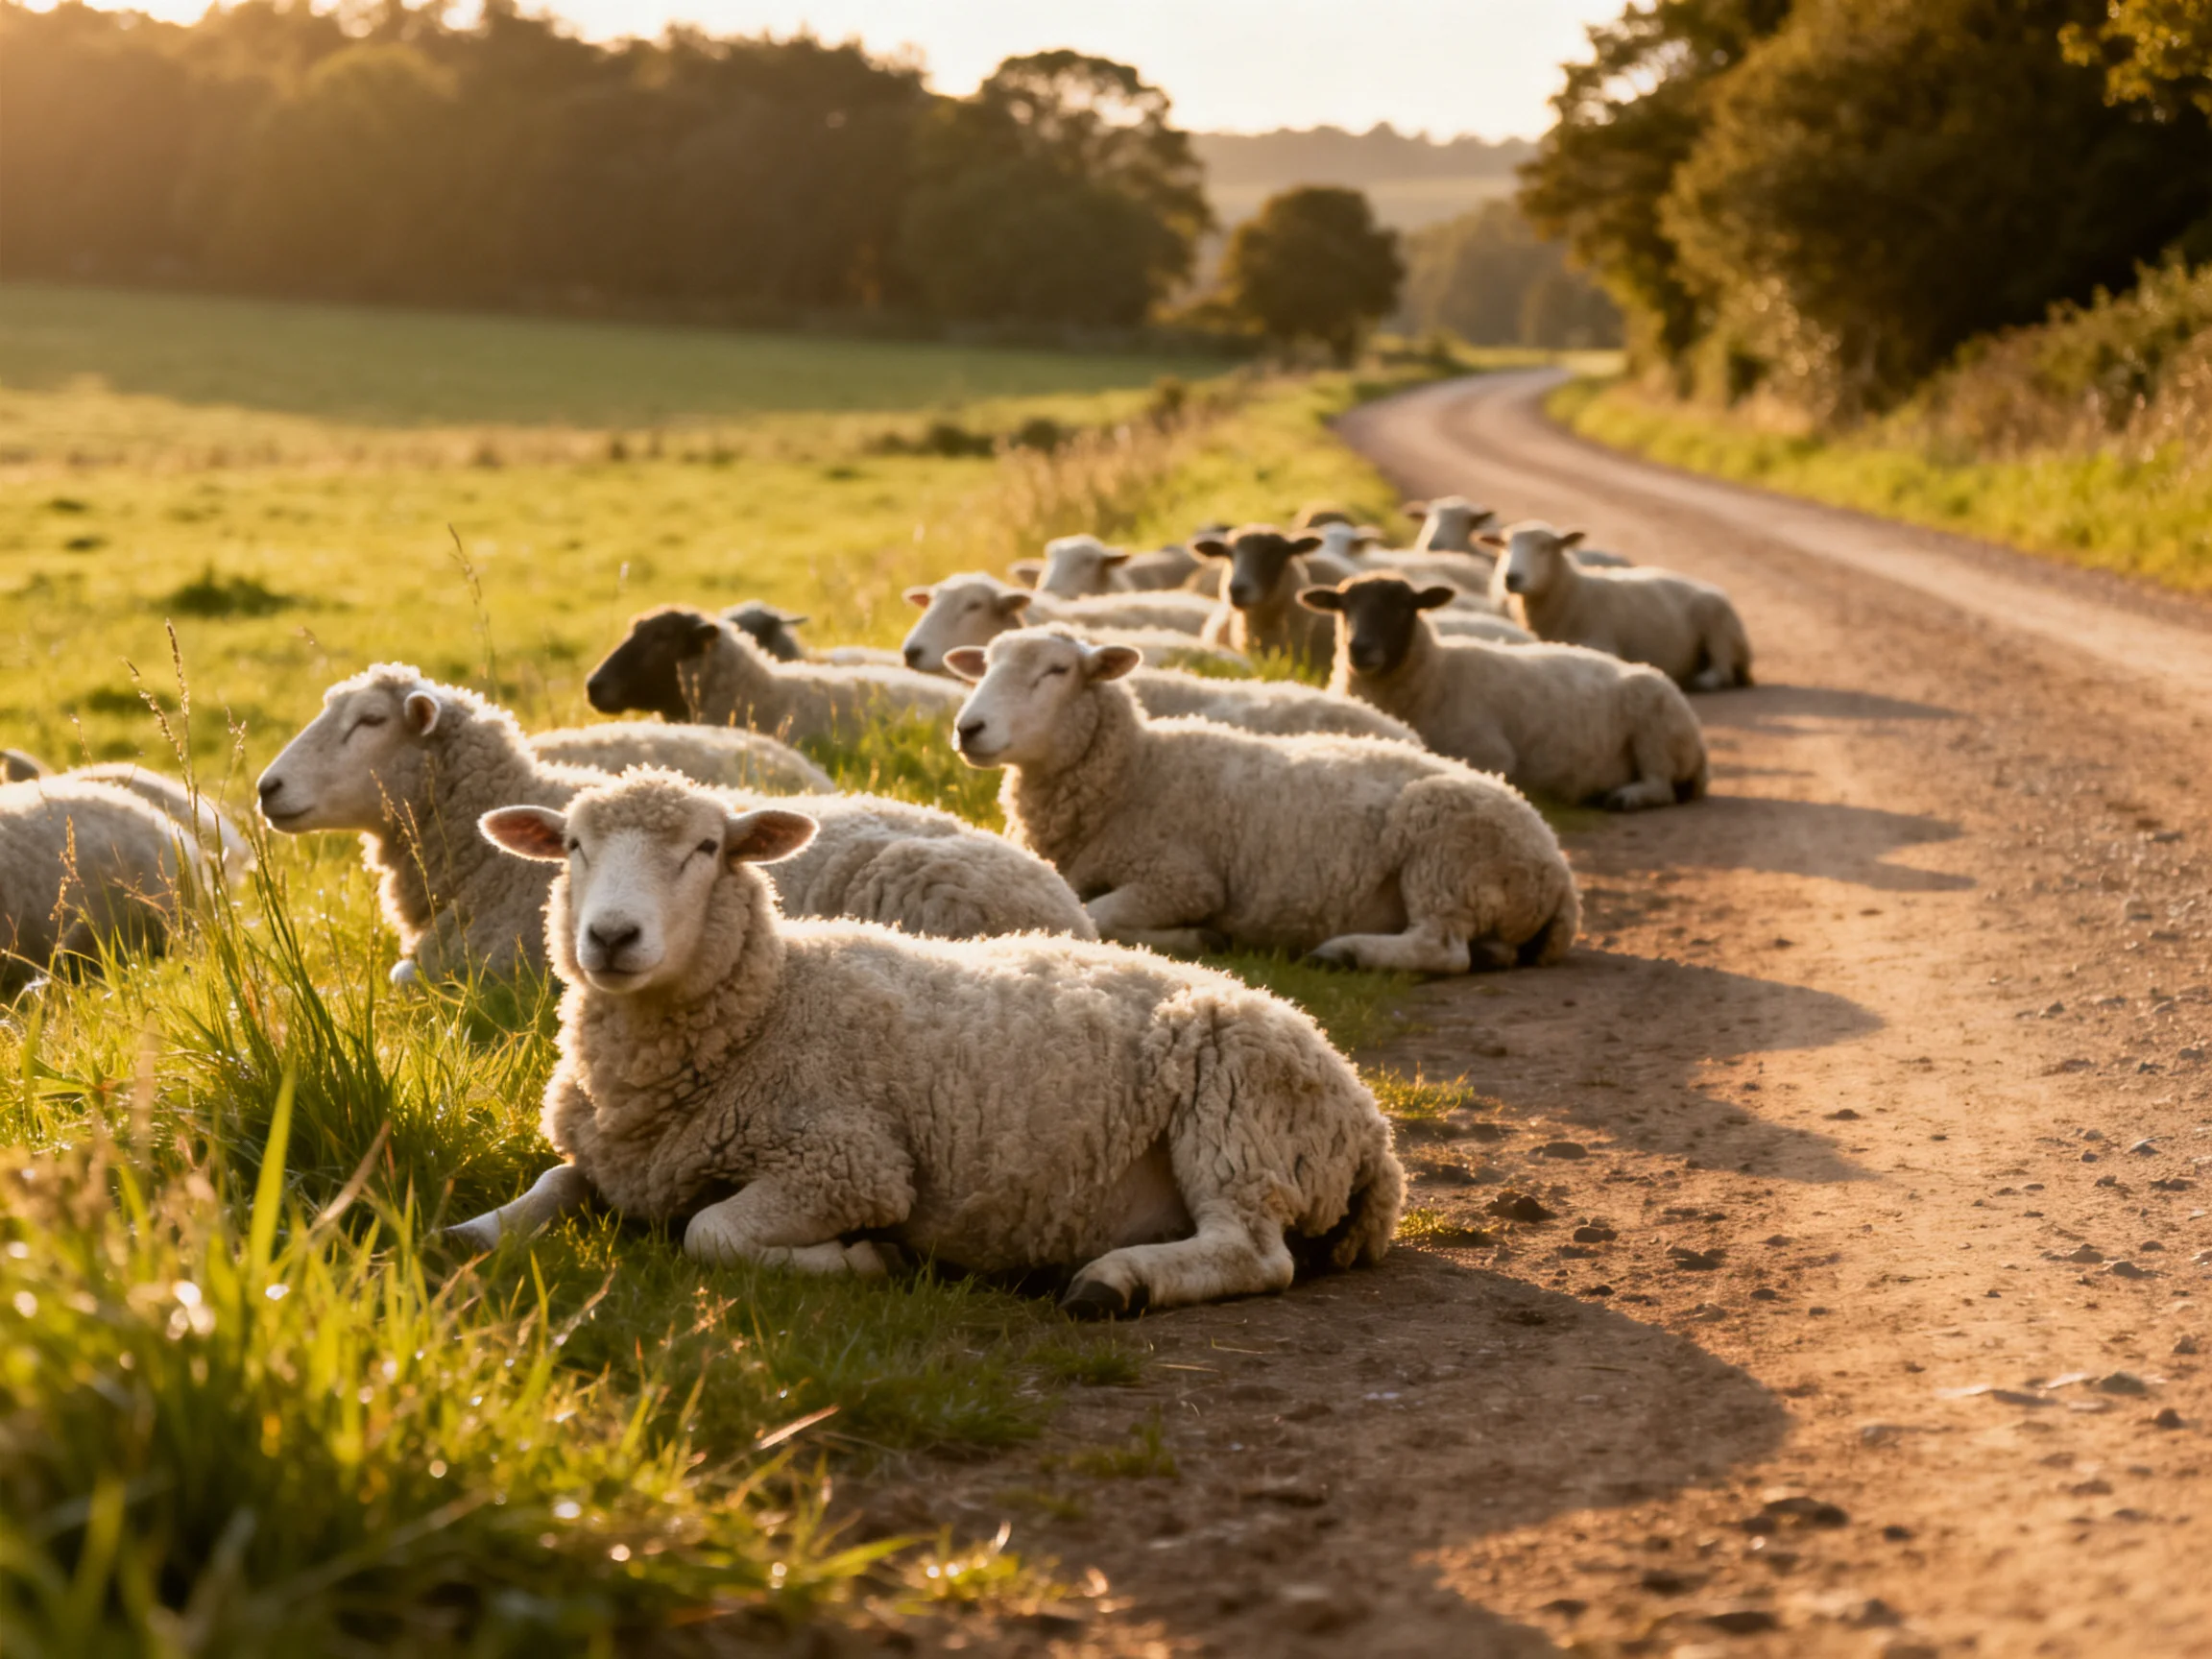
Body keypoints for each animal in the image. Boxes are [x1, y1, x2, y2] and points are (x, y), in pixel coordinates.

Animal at [456, 770, 1403, 1317]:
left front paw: (866, 1260)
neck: (769, 1008)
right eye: (572, 844)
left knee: (1254, 1254)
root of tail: (1372, 1127)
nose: (612, 937)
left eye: (707, 847)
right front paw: (471, 1230)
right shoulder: (621, 1160)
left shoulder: (847, 1163)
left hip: (1242, 1118)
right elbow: (555, 1182)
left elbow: (711, 1235)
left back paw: (1113, 1281)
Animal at [1302, 574, 1708, 810]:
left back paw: (1626, 797)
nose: (1359, 648)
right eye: (1343, 606)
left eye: (1404, 606)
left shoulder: (1491, 754)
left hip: (1656, 726)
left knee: (1661, 785)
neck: (1437, 675)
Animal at [1484, 521, 1753, 690]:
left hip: (1717, 622)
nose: (1511, 578)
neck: (1575, 593)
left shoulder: (1602, 643)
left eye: (1544, 547)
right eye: (1504, 546)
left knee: (1723, 671)